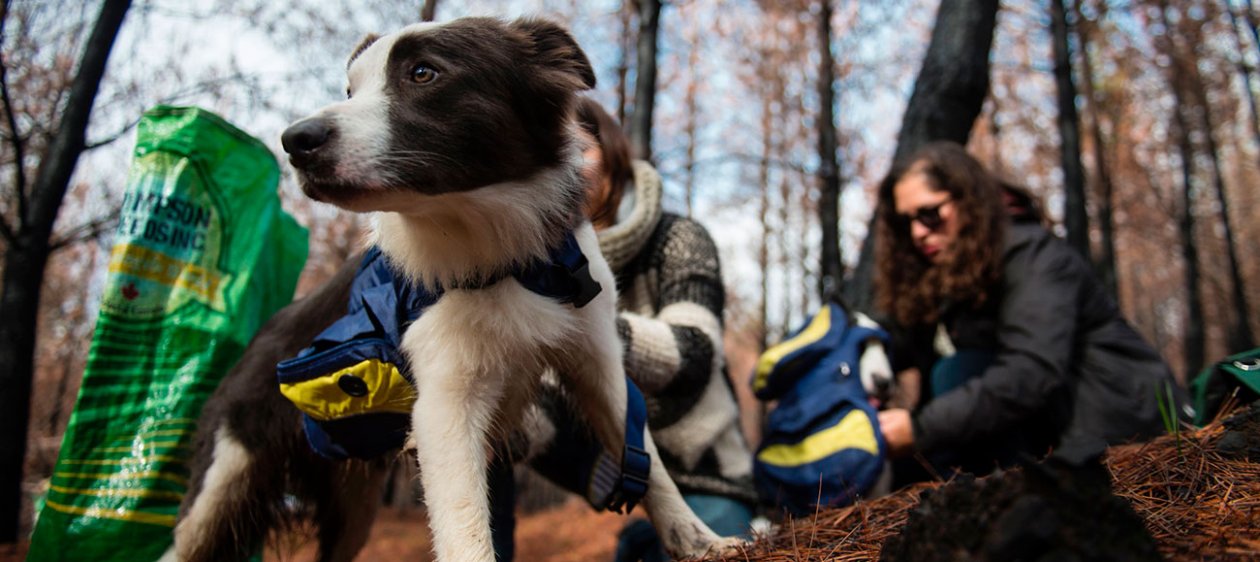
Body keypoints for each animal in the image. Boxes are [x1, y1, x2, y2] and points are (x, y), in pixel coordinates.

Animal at [167, 17, 735, 562]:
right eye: (350, 90)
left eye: (423, 73)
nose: (295, 141)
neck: (496, 249)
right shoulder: (444, 401)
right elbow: (464, 524)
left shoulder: (595, 357)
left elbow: (647, 461)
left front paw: (700, 538)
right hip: (221, 478)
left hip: (355, 505)